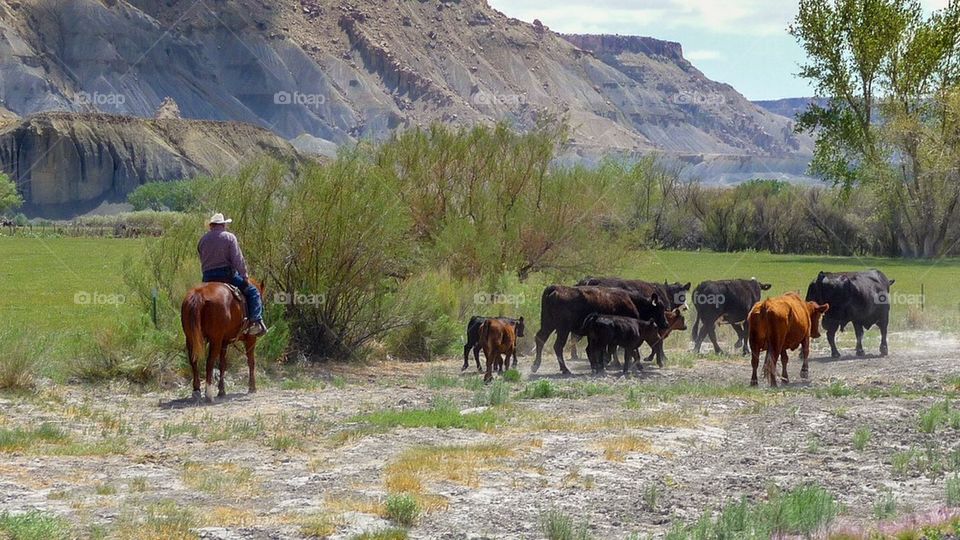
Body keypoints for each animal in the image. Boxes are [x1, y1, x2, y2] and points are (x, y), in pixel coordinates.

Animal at [532, 286, 668, 376]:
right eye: (659, 309)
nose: (666, 324)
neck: (632, 300)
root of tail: (556, 288)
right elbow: (628, 350)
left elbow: (604, 349)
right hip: (562, 330)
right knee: (558, 346)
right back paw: (565, 369)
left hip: (548, 325)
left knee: (540, 339)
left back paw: (535, 366)